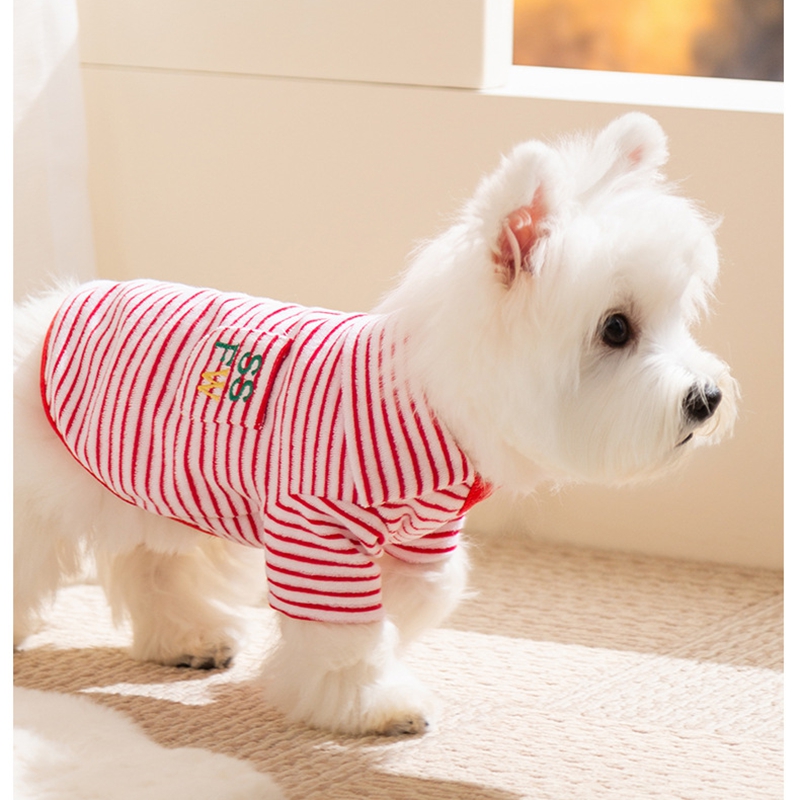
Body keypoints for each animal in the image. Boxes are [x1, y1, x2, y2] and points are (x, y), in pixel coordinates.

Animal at [14, 113, 737, 736]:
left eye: (675, 314)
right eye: (616, 328)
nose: (706, 397)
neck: (432, 408)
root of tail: (50, 310)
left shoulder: (423, 541)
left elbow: (408, 604)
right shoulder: (314, 530)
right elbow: (345, 633)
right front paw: (368, 707)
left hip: (160, 484)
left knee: (152, 564)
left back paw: (185, 637)